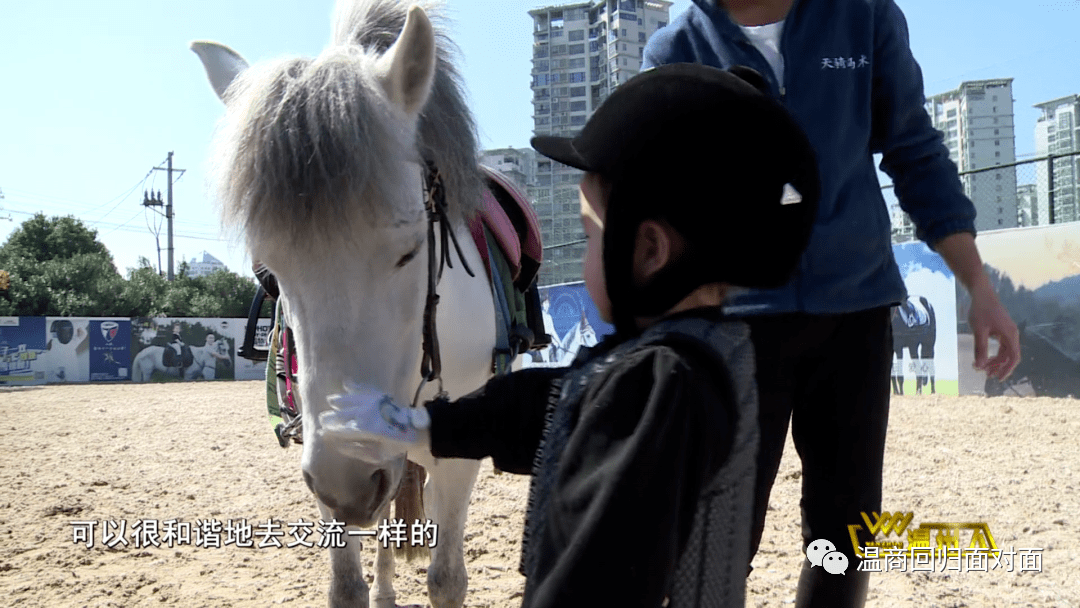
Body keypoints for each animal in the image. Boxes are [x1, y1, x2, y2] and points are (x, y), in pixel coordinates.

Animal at [194, 2, 496, 604]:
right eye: (268, 271)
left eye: (410, 250)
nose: (350, 478)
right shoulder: (320, 463)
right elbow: (346, 585)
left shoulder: (457, 456)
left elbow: (447, 580)